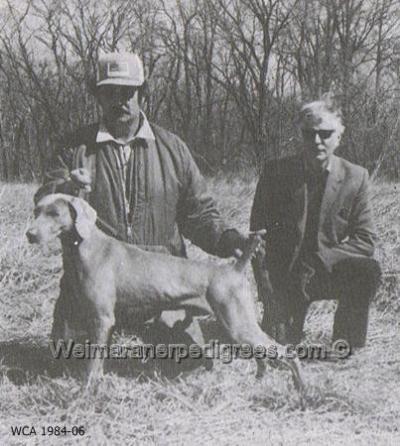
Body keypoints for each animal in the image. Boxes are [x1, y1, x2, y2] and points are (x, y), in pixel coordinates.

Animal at [27, 193, 304, 390]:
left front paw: (87, 388)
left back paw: (302, 390)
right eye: (36, 211)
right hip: (240, 326)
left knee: (286, 352)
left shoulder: (102, 318)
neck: (86, 246)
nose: (29, 234)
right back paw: (259, 382)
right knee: (262, 355)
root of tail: (235, 267)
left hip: (237, 323)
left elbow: (93, 362)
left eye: (54, 213)